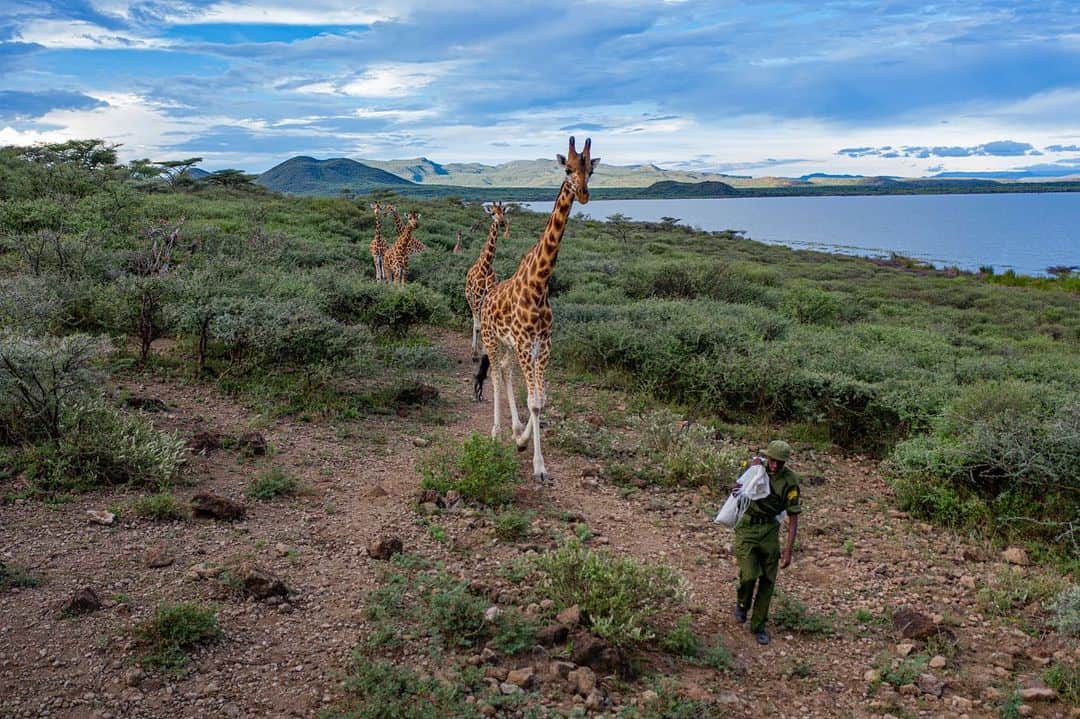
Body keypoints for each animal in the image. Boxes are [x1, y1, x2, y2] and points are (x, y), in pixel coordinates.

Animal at [464, 202, 510, 361]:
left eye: (503, 211)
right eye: (492, 213)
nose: (501, 222)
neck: (487, 267)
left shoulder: (488, 297)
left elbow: (485, 325)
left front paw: (485, 352)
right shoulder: (478, 297)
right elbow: (478, 326)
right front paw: (475, 354)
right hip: (470, 297)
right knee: (475, 321)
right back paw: (473, 350)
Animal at [474, 137, 598, 482]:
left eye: (591, 169)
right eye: (568, 169)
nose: (583, 194)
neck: (540, 284)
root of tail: (487, 298)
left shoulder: (543, 346)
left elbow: (540, 399)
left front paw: (524, 441)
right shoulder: (525, 344)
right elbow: (533, 401)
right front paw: (538, 466)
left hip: (507, 345)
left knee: (504, 370)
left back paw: (514, 428)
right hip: (492, 339)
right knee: (495, 375)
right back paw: (496, 431)